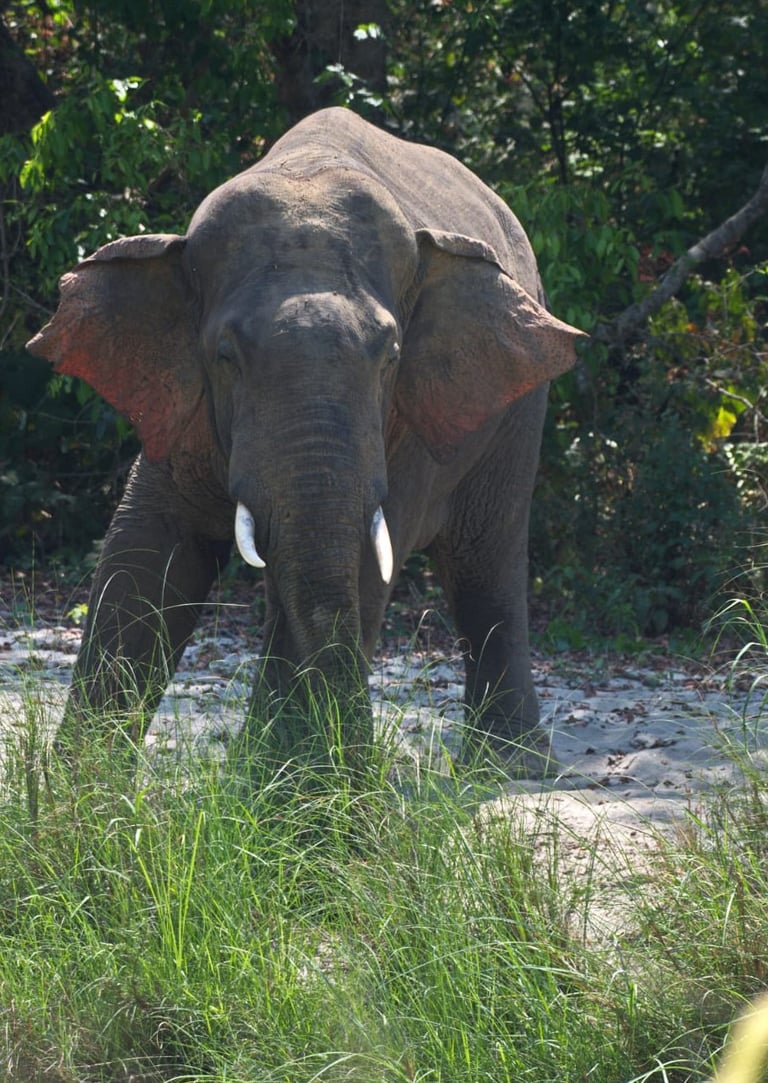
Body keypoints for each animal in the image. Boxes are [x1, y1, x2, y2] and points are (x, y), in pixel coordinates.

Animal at [27, 107, 584, 771]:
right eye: (225, 357)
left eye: (391, 357)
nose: (362, 769)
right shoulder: (184, 406)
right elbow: (144, 552)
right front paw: (78, 788)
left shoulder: (406, 418)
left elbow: (362, 558)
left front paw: (291, 789)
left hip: (518, 409)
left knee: (487, 559)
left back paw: (507, 768)